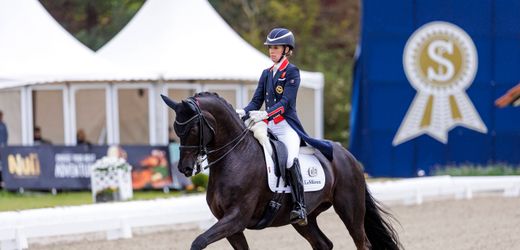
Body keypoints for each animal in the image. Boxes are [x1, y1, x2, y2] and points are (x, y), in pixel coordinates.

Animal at [160, 93, 400, 249]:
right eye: (176, 129)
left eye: (192, 128)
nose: (185, 168)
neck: (235, 156)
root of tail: (348, 156)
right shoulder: (232, 227)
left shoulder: (236, 218)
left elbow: (198, 242)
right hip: (305, 219)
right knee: (323, 244)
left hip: (350, 210)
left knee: (362, 243)